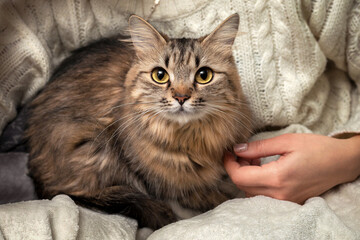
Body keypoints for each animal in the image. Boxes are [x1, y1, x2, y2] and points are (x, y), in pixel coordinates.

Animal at [26, 13, 252, 231]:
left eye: (204, 75)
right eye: (160, 75)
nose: (181, 97)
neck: (189, 140)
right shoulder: (166, 184)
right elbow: (204, 196)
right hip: (97, 146)